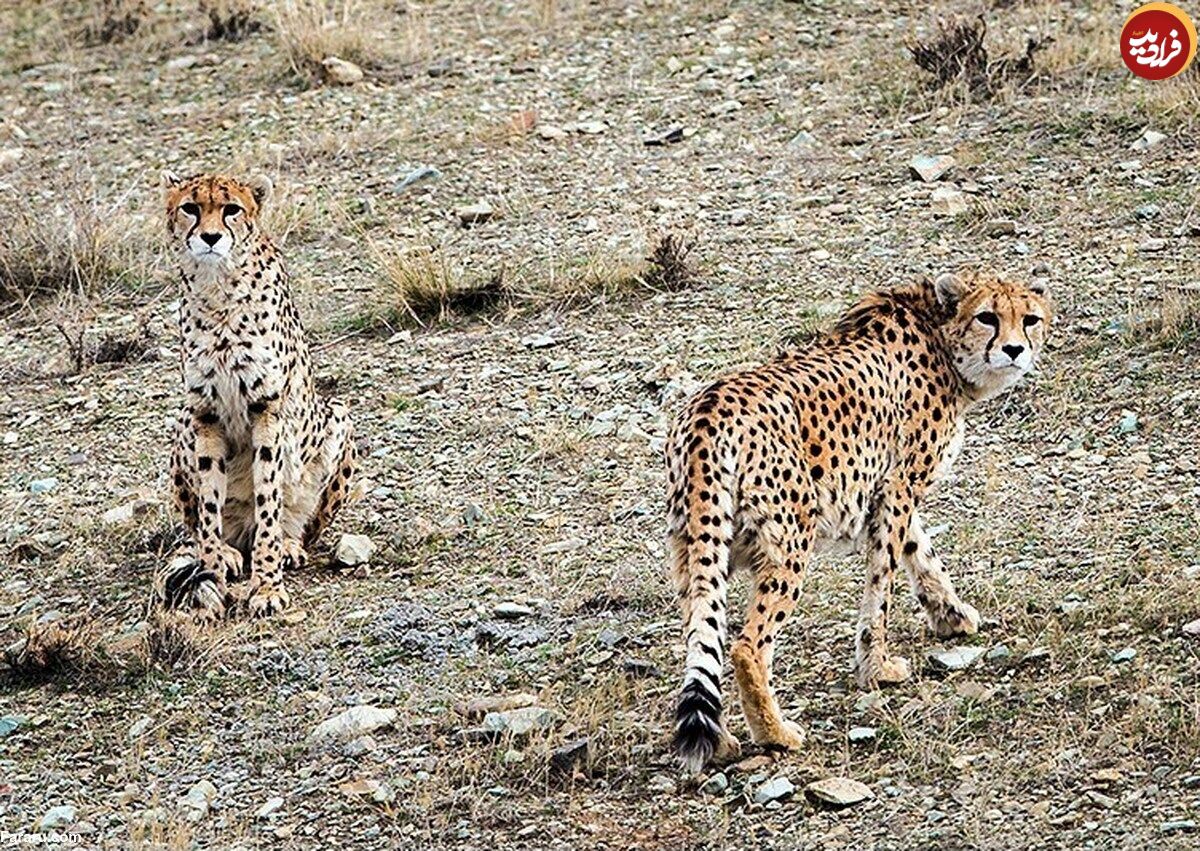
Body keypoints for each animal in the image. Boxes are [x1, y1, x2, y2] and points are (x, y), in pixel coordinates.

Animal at [153, 172, 355, 619]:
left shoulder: (268, 410)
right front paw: (213, 576)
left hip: (338, 416)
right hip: (182, 424)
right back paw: (227, 552)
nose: (210, 237)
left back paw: (288, 545)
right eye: (190, 208)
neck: (217, 291)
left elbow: (268, 500)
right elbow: (209, 505)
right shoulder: (204, 414)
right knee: (202, 526)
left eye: (232, 209)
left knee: (295, 524)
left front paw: (266, 587)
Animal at [672, 270, 1056, 768]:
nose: (1014, 350)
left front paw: (951, 614)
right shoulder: (897, 487)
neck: (940, 335)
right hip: (789, 541)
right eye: (987, 317)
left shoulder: (887, 489)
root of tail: (709, 408)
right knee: (746, 644)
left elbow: (920, 551)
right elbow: (883, 582)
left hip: (696, 549)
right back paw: (776, 733)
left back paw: (720, 740)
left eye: (1030, 319)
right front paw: (877, 668)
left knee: (703, 635)